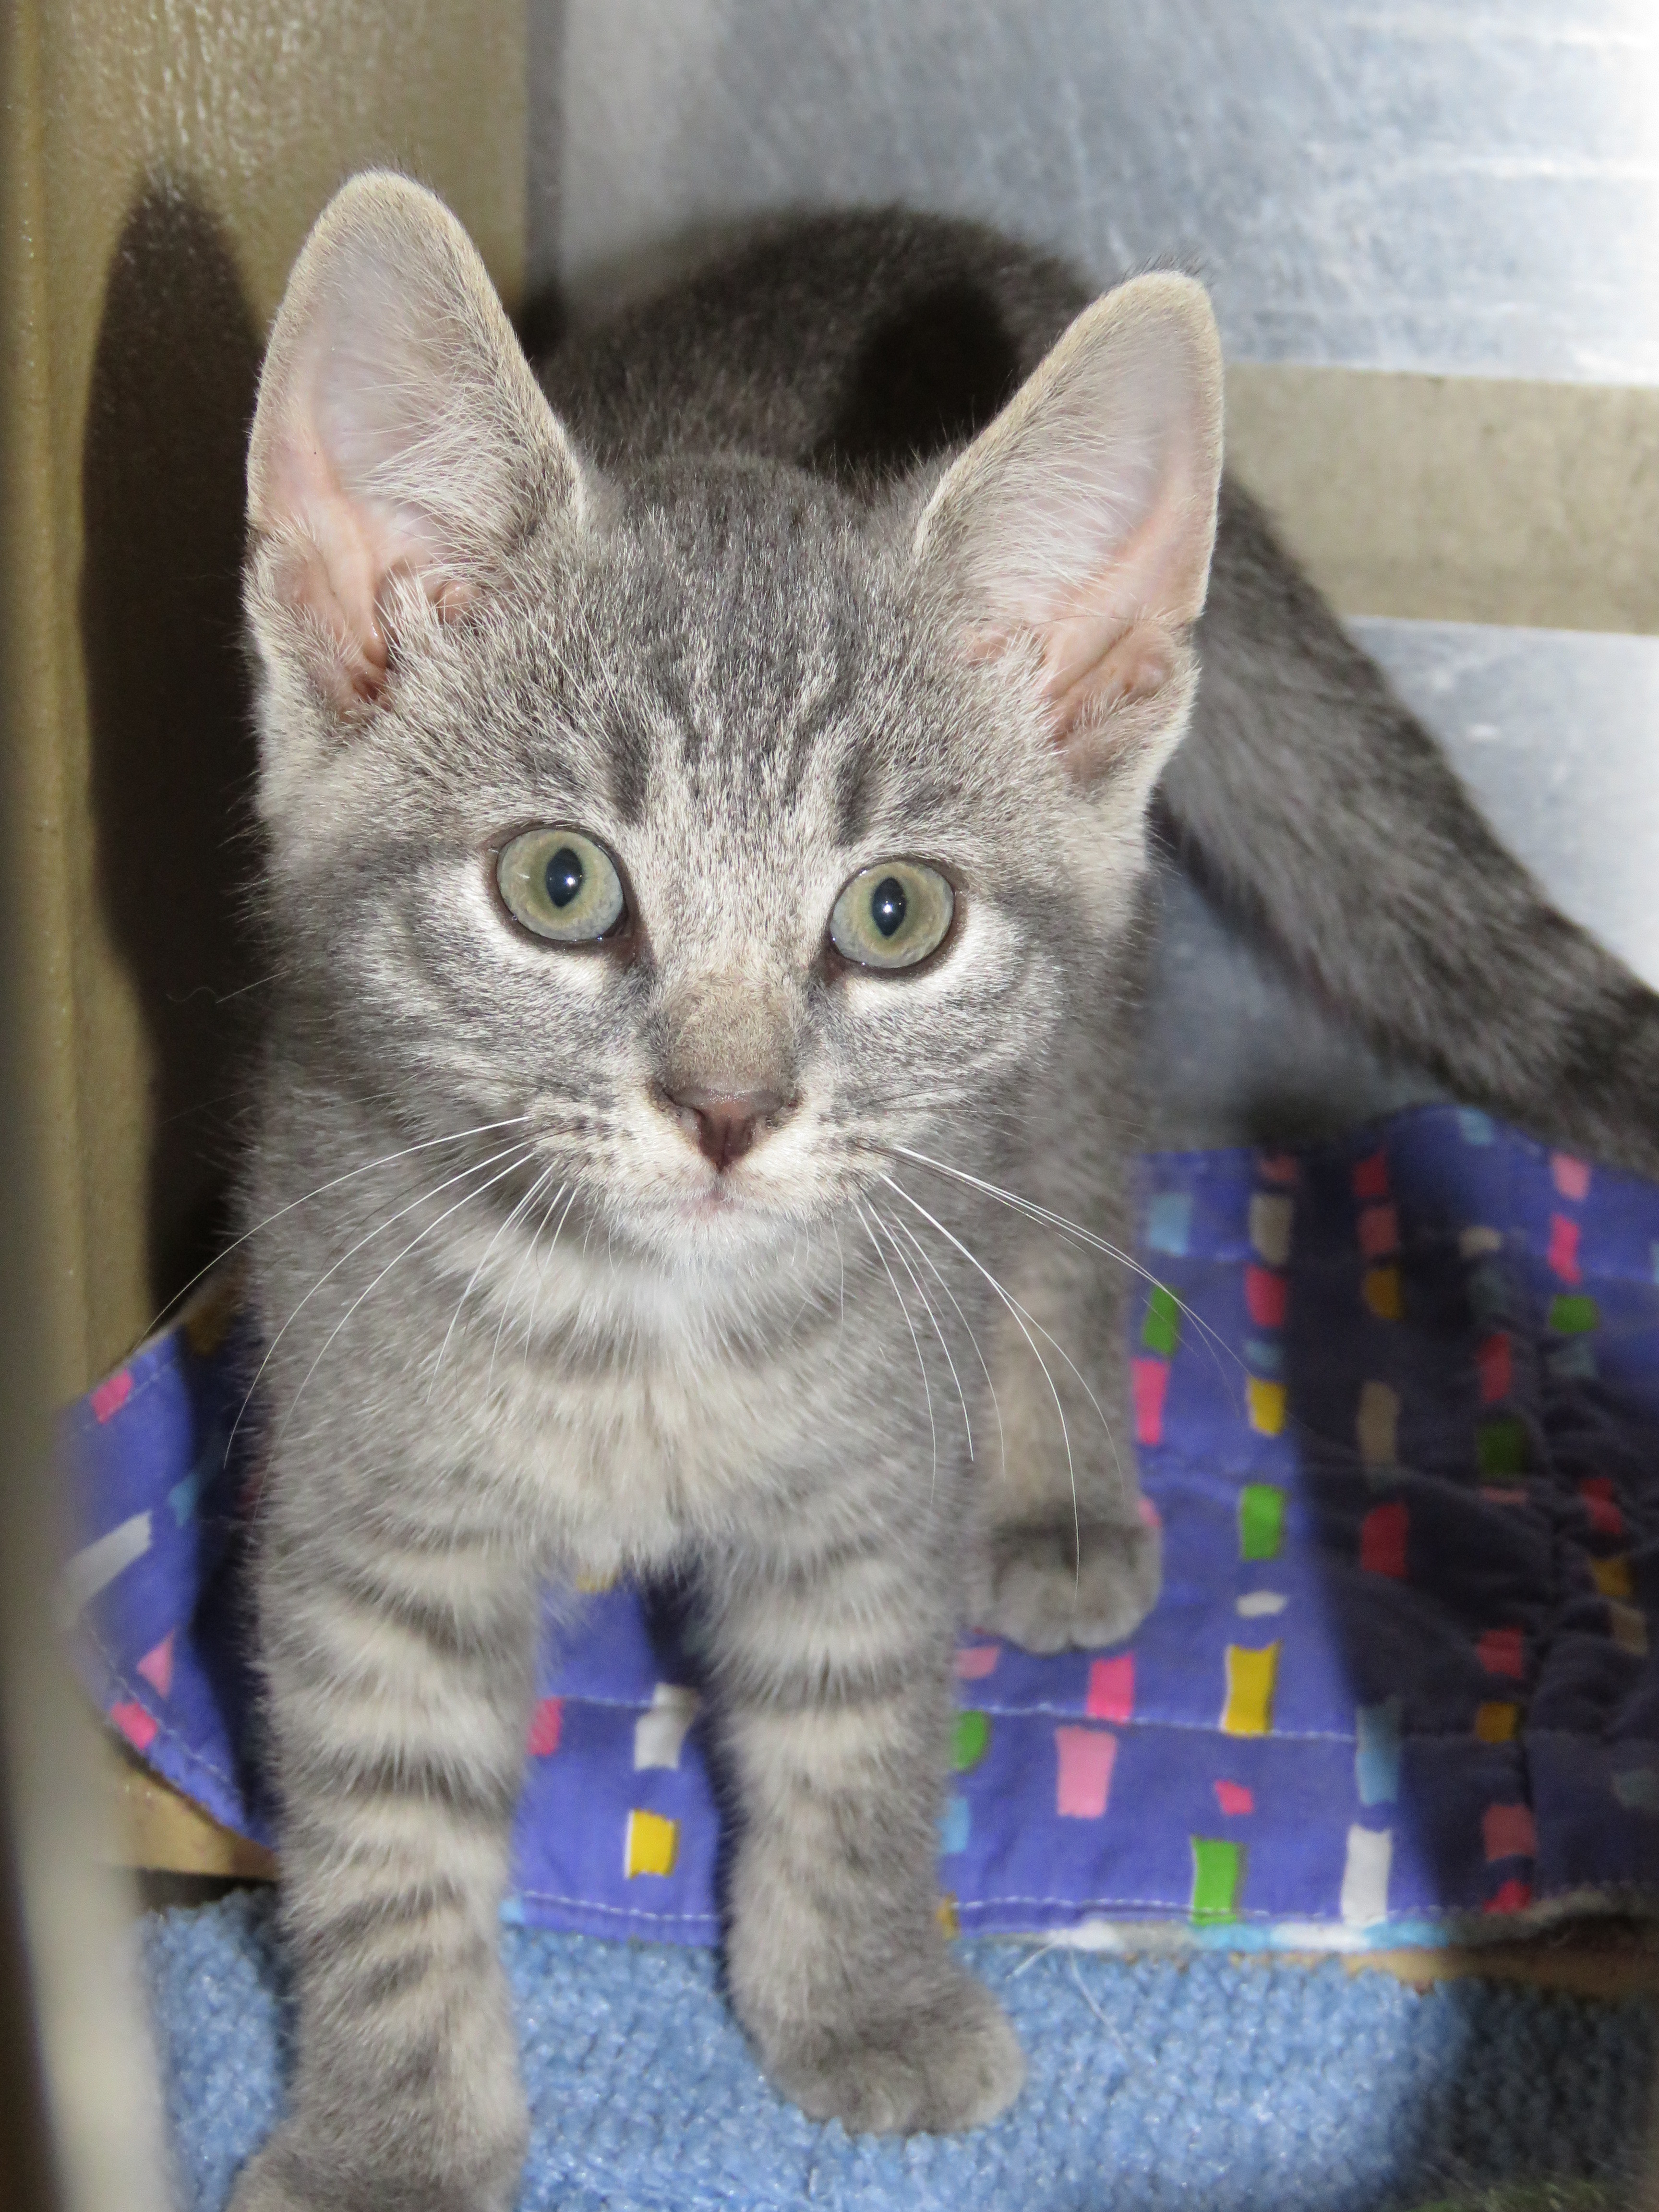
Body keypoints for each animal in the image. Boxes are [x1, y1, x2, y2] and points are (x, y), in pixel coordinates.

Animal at [231, 177, 1659, 2212]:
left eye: (895, 913)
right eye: (559, 883)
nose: (727, 1110)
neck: (646, 1332)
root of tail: (941, 236)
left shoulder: (867, 1480)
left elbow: (852, 1742)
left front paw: (859, 1990)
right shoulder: (363, 1497)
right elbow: (379, 1832)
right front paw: (389, 2131)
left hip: (1079, 1039)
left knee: (1070, 1221)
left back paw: (1058, 1490)